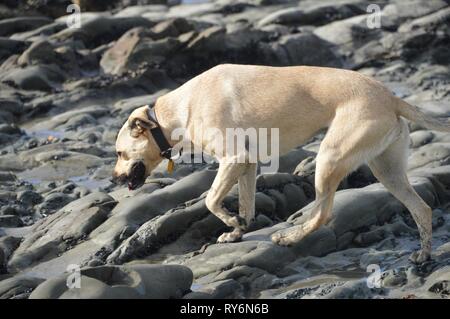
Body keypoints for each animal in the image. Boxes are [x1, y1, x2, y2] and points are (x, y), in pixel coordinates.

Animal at [111, 63, 450, 264]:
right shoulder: (246, 164)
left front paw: (231, 221)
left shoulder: (233, 159)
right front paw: (237, 230)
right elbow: (246, 204)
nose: (114, 179)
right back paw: (423, 255)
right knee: (421, 209)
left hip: (330, 157)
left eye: (119, 153)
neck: (173, 113)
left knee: (321, 214)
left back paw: (288, 238)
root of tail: (392, 97)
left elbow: (210, 200)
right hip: (387, 170)